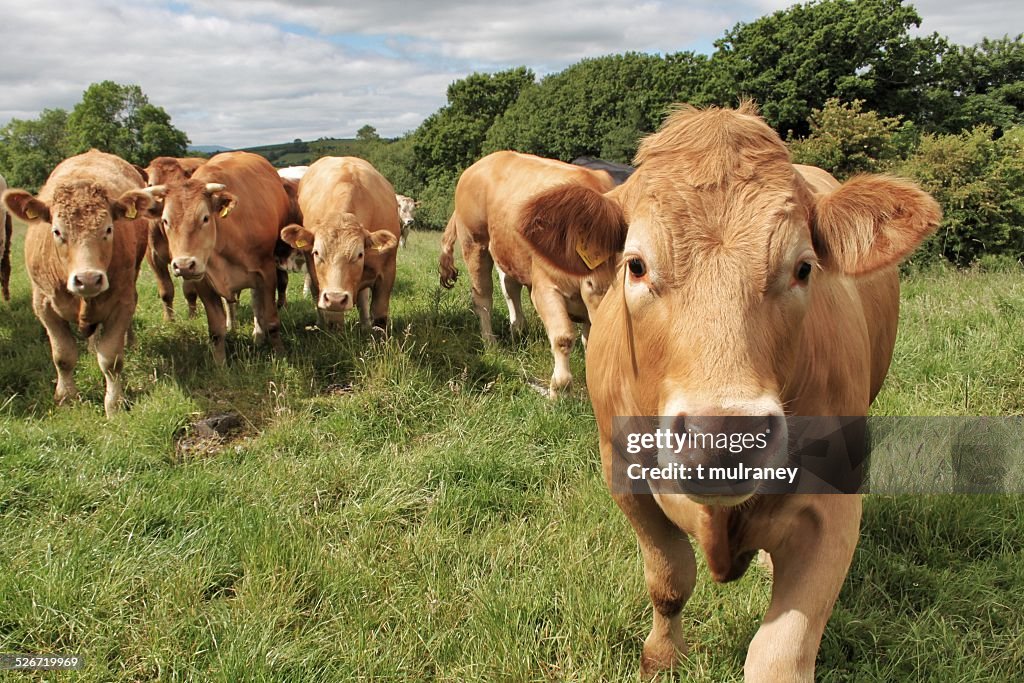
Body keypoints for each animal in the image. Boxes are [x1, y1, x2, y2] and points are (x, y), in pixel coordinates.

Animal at [2, 149, 152, 417]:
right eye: (57, 231)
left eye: (109, 229)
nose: (88, 279)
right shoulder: (43, 304)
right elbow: (63, 356)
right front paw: (66, 398)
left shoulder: (121, 302)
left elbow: (111, 359)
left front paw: (114, 404)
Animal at [143, 149, 292, 362]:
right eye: (165, 220)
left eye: (205, 218)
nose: (184, 265)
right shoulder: (204, 282)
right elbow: (215, 330)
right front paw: (220, 364)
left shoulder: (266, 272)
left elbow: (272, 320)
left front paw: (280, 355)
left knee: (257, 302)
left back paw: (258, 334)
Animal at [278, 158, 401, 333]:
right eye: (316, 253)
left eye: (360, 254)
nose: (336, 298)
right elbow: (334, 319)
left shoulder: (387, 271)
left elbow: (380, 315)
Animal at [438, 149, 614, 395]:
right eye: (592, 284)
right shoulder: (545, 289)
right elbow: (563, 337)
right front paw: (559, 389)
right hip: (474, 242)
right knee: (483, 298)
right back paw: (491, 342)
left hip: (508, 251)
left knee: (510, 289)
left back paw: (517, 332)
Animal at [516, 104, 937, 679]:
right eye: (636, 265)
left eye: (803, 267)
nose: (723, 436)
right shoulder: (623, 477)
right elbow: (669, 581)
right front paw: (661, 658)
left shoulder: (836, 503)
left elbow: (779, 655)